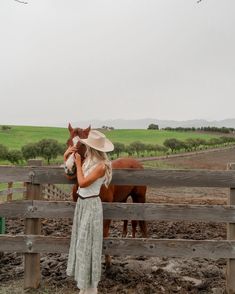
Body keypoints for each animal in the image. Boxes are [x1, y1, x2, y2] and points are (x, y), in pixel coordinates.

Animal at [65, 123, 147, 268]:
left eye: (82, 144)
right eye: (68, 142)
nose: (69, 168)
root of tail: (137, 163)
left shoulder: (107, 209)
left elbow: (105, 233)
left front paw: (108, 261)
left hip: (139, 198)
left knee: (140, 221)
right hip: (123, 199)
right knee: (130, 220)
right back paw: (126, 237)